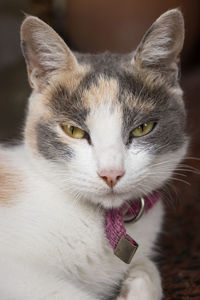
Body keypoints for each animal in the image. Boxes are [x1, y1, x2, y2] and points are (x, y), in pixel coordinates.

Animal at [0, 8, 188, 298]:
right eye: (73, 131)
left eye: (142, 128)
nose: (111, 174)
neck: (103, 220)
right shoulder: (16, 275)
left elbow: (149, 272)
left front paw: (137, 283)